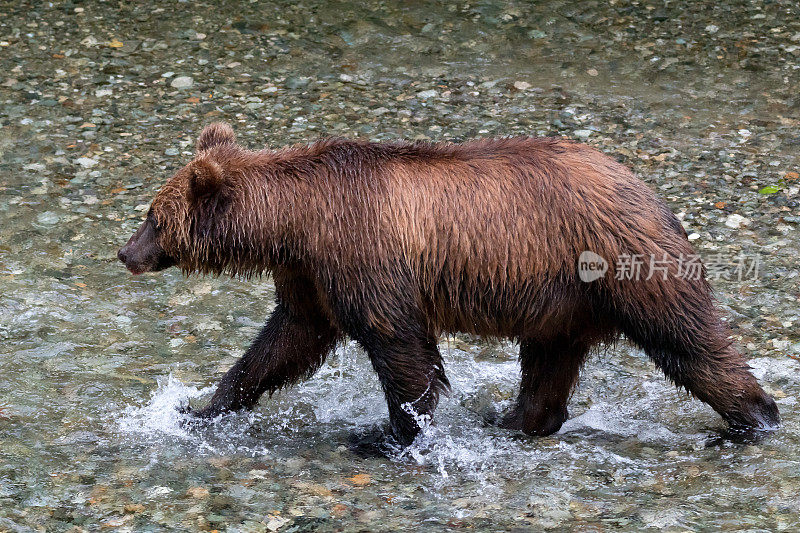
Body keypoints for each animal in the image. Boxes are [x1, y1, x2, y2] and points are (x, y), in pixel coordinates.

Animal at [115, 122, 780, 446]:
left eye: (154, 217)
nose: (125, 252)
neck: (294, 223)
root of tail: (649, 190)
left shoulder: (362, 251)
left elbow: (398, 343)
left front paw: (394, 434)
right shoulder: (310, 274)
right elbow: (286, 341)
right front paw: (201, 407)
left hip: (622, 263)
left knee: (688, 338)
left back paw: (752, 420)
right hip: (560, 298)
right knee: (548, 361)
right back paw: (513, 420)